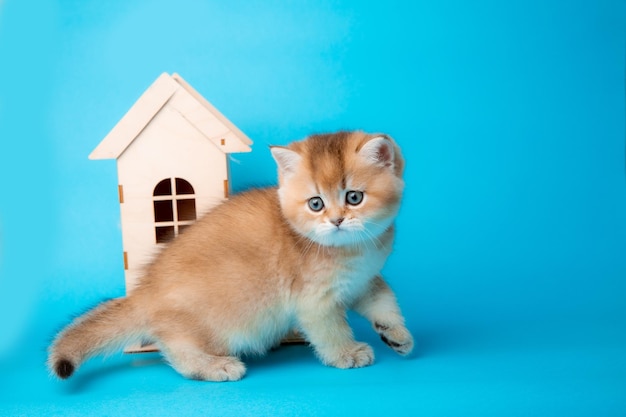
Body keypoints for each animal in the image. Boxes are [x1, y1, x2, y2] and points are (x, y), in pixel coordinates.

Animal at [47, 130, 410, 380]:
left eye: (354, 197)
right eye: (316, 203)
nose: (336, 220)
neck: (356, 249)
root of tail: (143, 294)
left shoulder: (364, 280)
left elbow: (385, 299)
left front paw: (396, 333)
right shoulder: (314, 301)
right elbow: (330, 330)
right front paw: (346, 353)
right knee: (174, 347)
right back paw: (213, 366)